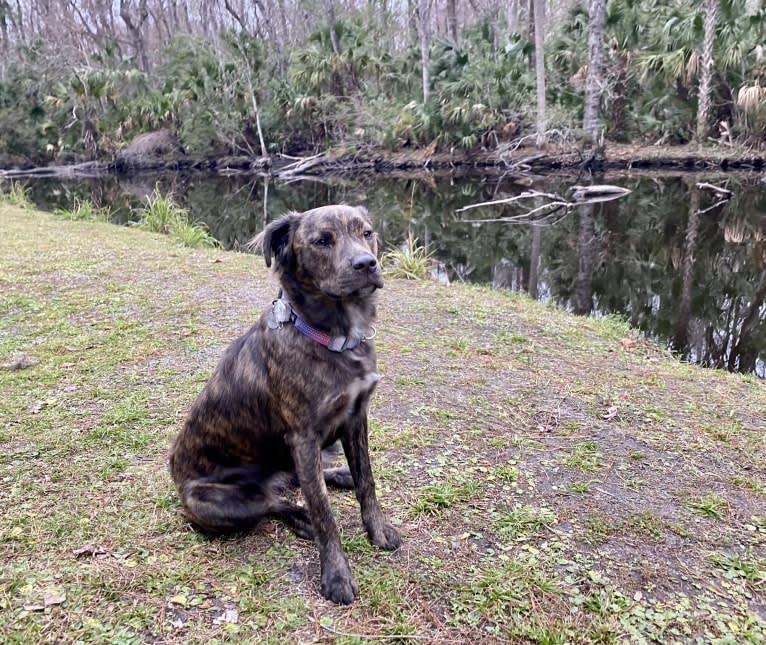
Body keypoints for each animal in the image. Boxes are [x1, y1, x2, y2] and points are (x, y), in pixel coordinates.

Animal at [169, 205, 402, 604]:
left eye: (367, 233)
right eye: (322, 241)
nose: (366, 264)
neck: (333, 337)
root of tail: (174, 474)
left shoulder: (356, 418)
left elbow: (367, 483)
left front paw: (378, 530)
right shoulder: (303, 437)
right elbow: (324, 513)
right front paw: (336, 575)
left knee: (293, 483)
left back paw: (337, 475)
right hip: (207, 499)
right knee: (272, 503)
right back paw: (300, 518)